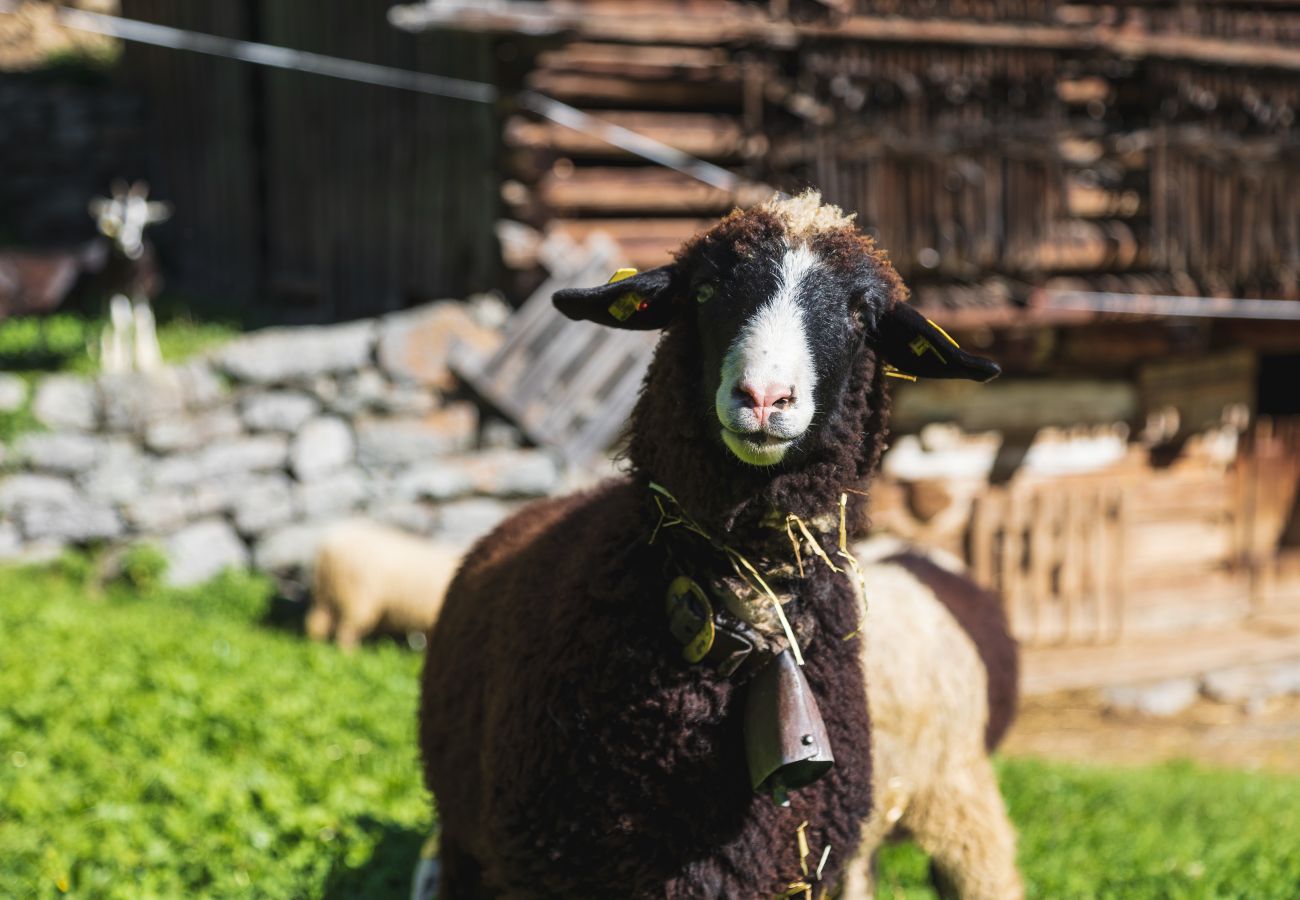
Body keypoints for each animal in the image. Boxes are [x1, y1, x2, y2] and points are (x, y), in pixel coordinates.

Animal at [306, 517, 465, 650]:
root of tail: (328, 547)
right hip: (357, 596)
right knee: (346, 629)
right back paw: (350, 654)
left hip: (326, 593)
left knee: (317, 622)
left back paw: (316, 647)